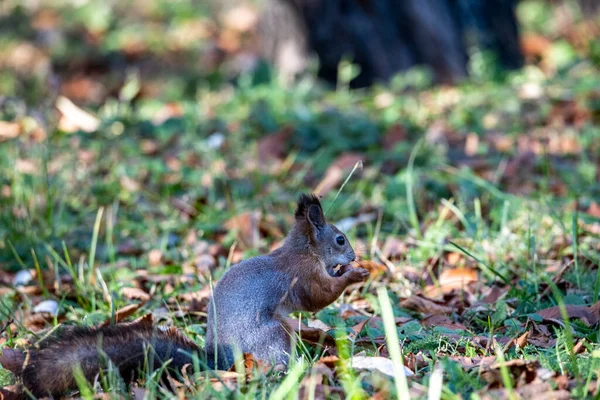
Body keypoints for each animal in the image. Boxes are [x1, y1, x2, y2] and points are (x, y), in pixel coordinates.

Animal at [0, 194, 368, 396]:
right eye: (340, 239)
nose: (353, 255)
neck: (304, 250)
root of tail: (219, 359)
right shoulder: (301, 276)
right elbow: (318, 296)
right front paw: (355, 274)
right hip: (272, 336)